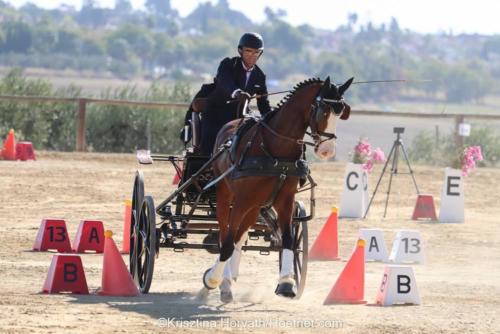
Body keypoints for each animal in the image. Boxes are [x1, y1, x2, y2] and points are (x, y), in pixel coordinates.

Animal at [200, 76, 352, 302]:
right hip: (227, 195)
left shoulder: (285, 199)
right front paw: (211, 280)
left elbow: (288, 239)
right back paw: (218, 280)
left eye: (340, 112)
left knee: (239, 237)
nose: (327, 151)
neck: (276, 149)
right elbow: (227, 243)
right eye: (323, 110)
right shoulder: (242, 199)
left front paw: (287, 283)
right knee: (226, 233)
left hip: (255, 206)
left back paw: (228, 281)